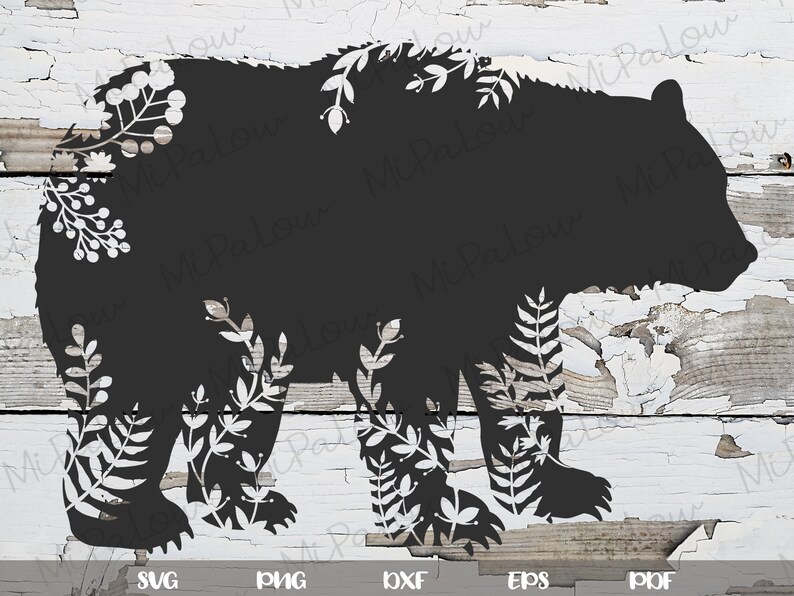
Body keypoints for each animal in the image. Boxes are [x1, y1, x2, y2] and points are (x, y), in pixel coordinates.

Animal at [35, 42, 757, 553]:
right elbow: (408, 381)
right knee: (130, 383)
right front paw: (448, 515)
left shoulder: (508, 289)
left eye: (718, 179)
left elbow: (519, 371)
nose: (743, 253)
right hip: (138, 275)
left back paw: (243, 503)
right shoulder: (408, 271)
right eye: (695, 189)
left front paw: (564, 487)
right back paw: (134, 520)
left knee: (234, 397)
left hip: (238, 326)